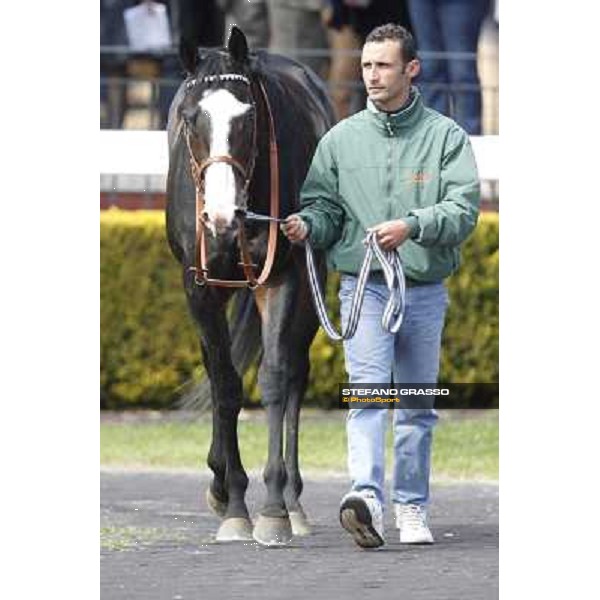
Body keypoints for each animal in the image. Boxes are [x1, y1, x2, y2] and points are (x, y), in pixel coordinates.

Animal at [165, 25, 332, 548]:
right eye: (191, 116)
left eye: (249, 115)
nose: (221, 217)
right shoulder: (199, 287)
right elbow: (225, 384)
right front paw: (232, 498)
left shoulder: (284, 277)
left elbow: (275, 378)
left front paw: (274, 508)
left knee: (296, 370)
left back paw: (294, 500)